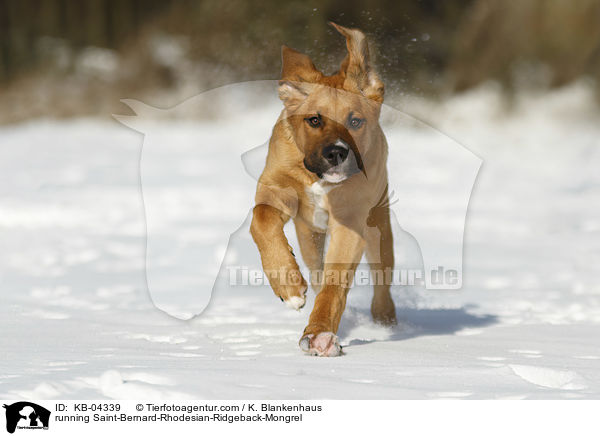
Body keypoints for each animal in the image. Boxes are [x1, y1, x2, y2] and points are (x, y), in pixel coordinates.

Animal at [251, 22, 396, 358]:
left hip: (378, 226)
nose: (337, 153)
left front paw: (319, 335)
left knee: (381, 276)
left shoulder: (350, 222)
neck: (318, 178)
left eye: (355, 121)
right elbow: (261, 220)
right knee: (316, 270)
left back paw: (385, 319)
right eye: (314, 120)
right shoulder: (275, 190)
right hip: (309, 235)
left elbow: (334, 284)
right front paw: (289, 287)